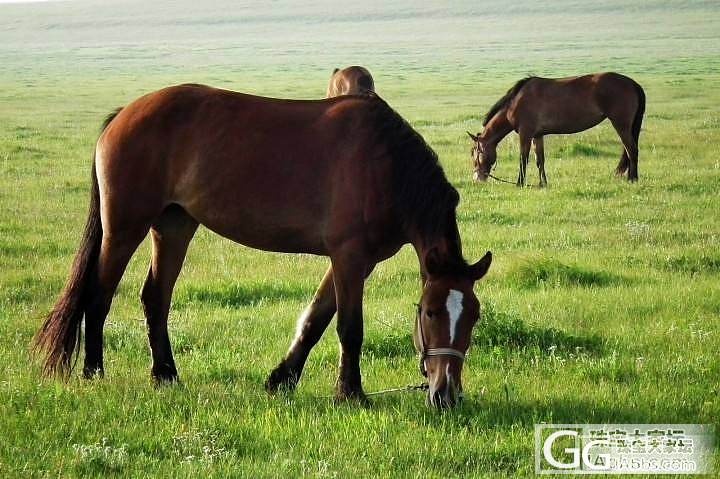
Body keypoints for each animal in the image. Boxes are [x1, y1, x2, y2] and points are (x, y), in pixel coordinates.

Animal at [36, 85, 492, 408]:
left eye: (473, 316)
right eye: (431, 312)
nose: (446, 394)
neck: (386, 164)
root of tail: (123, 115)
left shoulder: (353, 262)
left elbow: (315, 320)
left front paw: (282, 379)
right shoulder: (349, 257)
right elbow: (349, 327)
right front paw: (350, 393)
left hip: (174, 226)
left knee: (155, 298)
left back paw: (165, 374)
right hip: (124, 229)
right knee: (99, 295)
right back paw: (94, 371)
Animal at [470, 72, 644, 187]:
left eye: (475, 154)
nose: (477, 178)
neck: (516, 102)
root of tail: (632, 84)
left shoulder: (525, 134)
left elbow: (523, 159)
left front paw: (520, 183)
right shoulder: (537, 136)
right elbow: (540, 160)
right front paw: (543, 183)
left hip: (621, 125)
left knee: (631, 150)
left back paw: (632, 179)